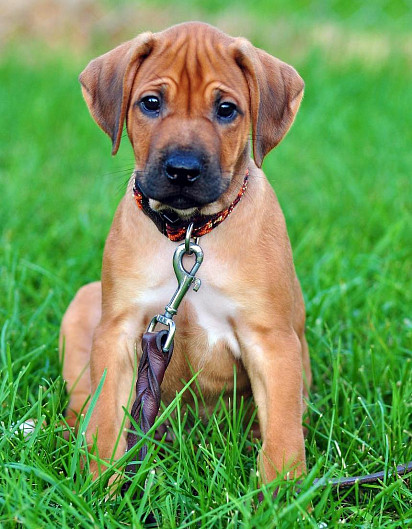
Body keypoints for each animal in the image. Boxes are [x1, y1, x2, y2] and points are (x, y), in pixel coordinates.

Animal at [60, 20, 312, 482]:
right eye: (151, 103)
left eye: (227, 109)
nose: (182, 170)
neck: (190, 231)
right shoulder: (119, 331)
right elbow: (105, 427)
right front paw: (97, 487)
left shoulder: (272, 342)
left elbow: (283, 440)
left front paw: (283, 493)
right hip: (84, 306)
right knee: (85, 401)